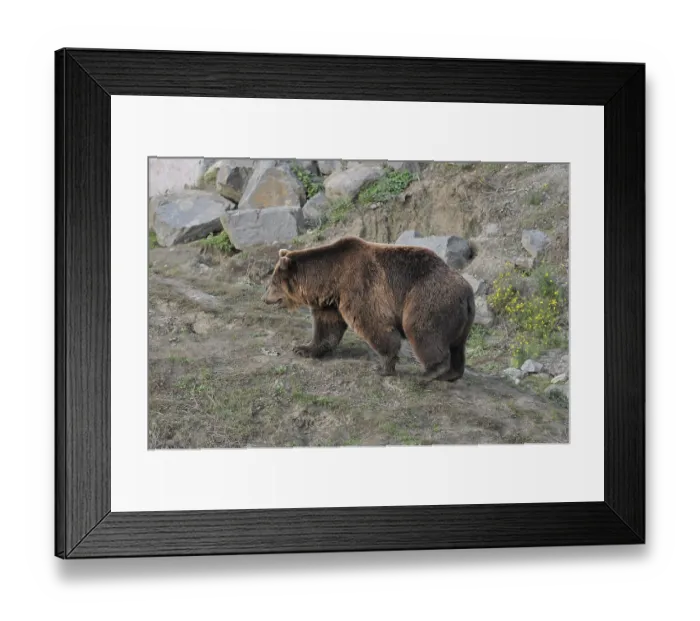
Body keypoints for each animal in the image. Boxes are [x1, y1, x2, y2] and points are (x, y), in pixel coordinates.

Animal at [262, 236, 475, 382]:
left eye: (273, 282)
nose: (264, 299)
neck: (331, 277)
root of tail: (467, 292)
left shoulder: (360, 287)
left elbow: (374, 324)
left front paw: (383, 367)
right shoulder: (331, 302)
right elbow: (326, 327)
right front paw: (304, 348)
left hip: (427, 299)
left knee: (421, 330)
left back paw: (428, 373)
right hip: (460, 319)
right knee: (457, 345)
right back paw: (452, 373)